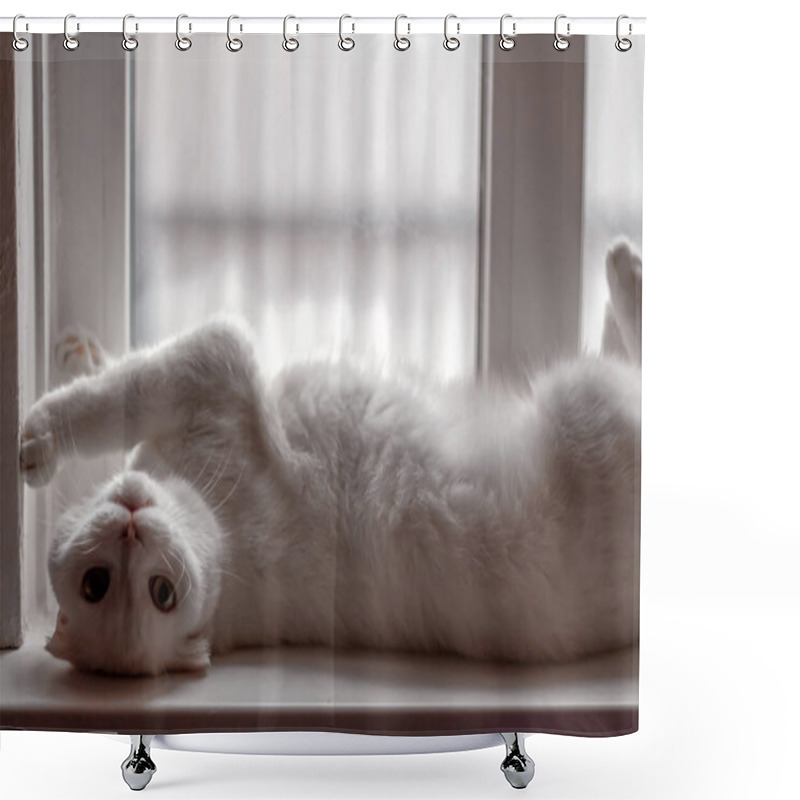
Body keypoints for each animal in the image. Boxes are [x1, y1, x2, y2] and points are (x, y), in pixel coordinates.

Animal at [18, 239, 640, 676]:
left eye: (157, 592)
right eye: (102, 585)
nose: (131, 528)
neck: (226, 541)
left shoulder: (209, 372)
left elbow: (113, 394)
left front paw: (67, 378)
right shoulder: (213, 373)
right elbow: (110, 401)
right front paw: (42, 432)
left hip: (586, 397)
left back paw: (622, 267)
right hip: (589, 396)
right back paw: (624, 268)